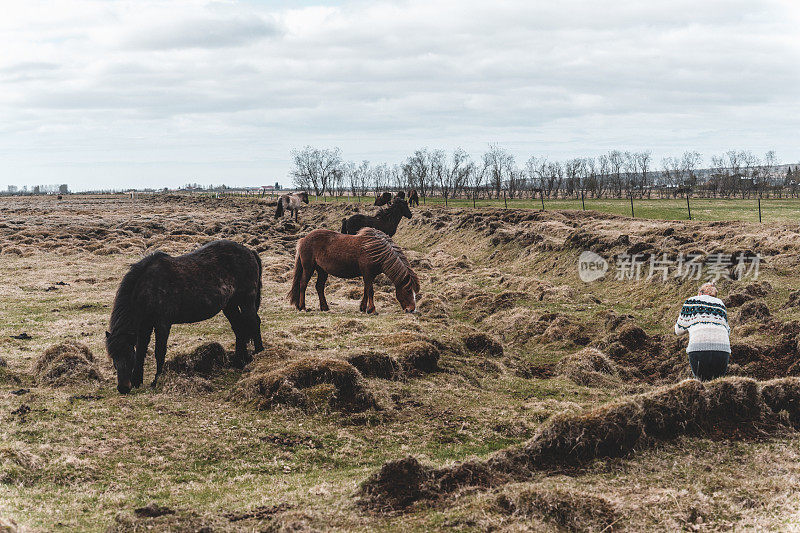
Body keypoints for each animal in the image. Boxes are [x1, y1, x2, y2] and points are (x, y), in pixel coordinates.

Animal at [104, 239, 262, 392]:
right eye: (113, 358)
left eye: (129, 356)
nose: (123, 388)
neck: (148, 287)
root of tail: (249, 251)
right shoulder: (144, 325)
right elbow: (142, 350)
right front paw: (137, 381)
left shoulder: (162, 324)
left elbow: (159, 351)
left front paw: (156, 380)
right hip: (230, 305)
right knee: (239, 328)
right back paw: (239, 362)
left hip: (246, 301)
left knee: (254, 323)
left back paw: (259, 354)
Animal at [290, 227, 422, 314]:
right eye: (408, 290)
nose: (411, 310)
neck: (376, 250)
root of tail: (303, 239)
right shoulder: (367, 273)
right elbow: (370, 291)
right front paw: (372, 310)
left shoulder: (369, 275)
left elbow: (366, 290)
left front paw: (363, 308)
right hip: (308, 268)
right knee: (303, 285)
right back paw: (303, 307)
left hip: (322, 271)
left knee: (319, 287)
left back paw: (324, 307)